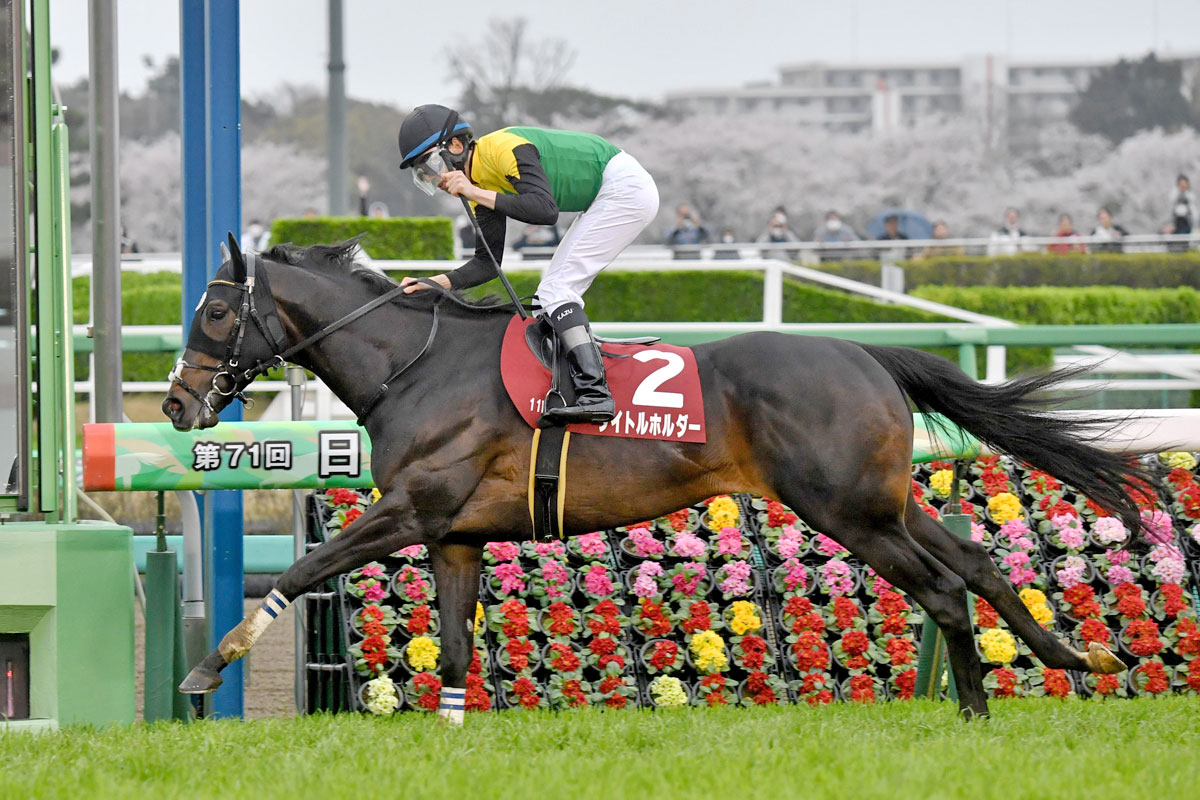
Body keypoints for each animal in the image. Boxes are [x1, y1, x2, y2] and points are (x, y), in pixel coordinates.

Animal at [163, 236, 1149, 719]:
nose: (175, 404)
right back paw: (1076, 654)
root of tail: (867, 353)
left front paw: (209, 668)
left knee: (944, 588)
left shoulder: (412, 509)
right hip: (883, 500)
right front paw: (449, 731)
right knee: (978, 563)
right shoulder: (456, 536)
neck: (418, 365)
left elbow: (299, 570)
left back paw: (977, 710)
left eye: (212, 311)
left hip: (847, 511)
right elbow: (450, 648)